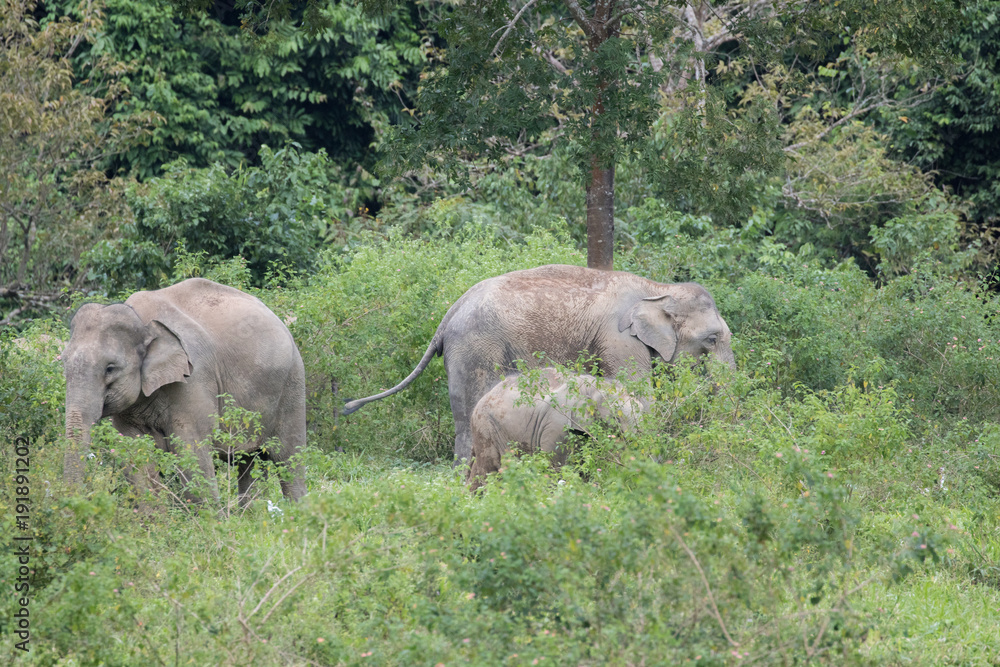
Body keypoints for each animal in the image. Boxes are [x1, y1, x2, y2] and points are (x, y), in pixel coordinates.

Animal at [61, 278, 306, 506]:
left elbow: (191, 451)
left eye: (110, 368)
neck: (141, 319)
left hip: (292, 384)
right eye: (63, 363)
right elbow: (136, 454)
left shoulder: (193, 380)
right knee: (249, 462)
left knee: (289, 461)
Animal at [343, 264, 734, 461]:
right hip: (477, 347)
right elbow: (637, 393)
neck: (658, 288)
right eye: (712, 339)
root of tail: (450, 312)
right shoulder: (619, 338)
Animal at [466, 368, 644, 490]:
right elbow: (557, 467)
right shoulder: (557, 426)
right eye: (616, 417)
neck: (592, 387)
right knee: (489, 469)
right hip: (486, 427)